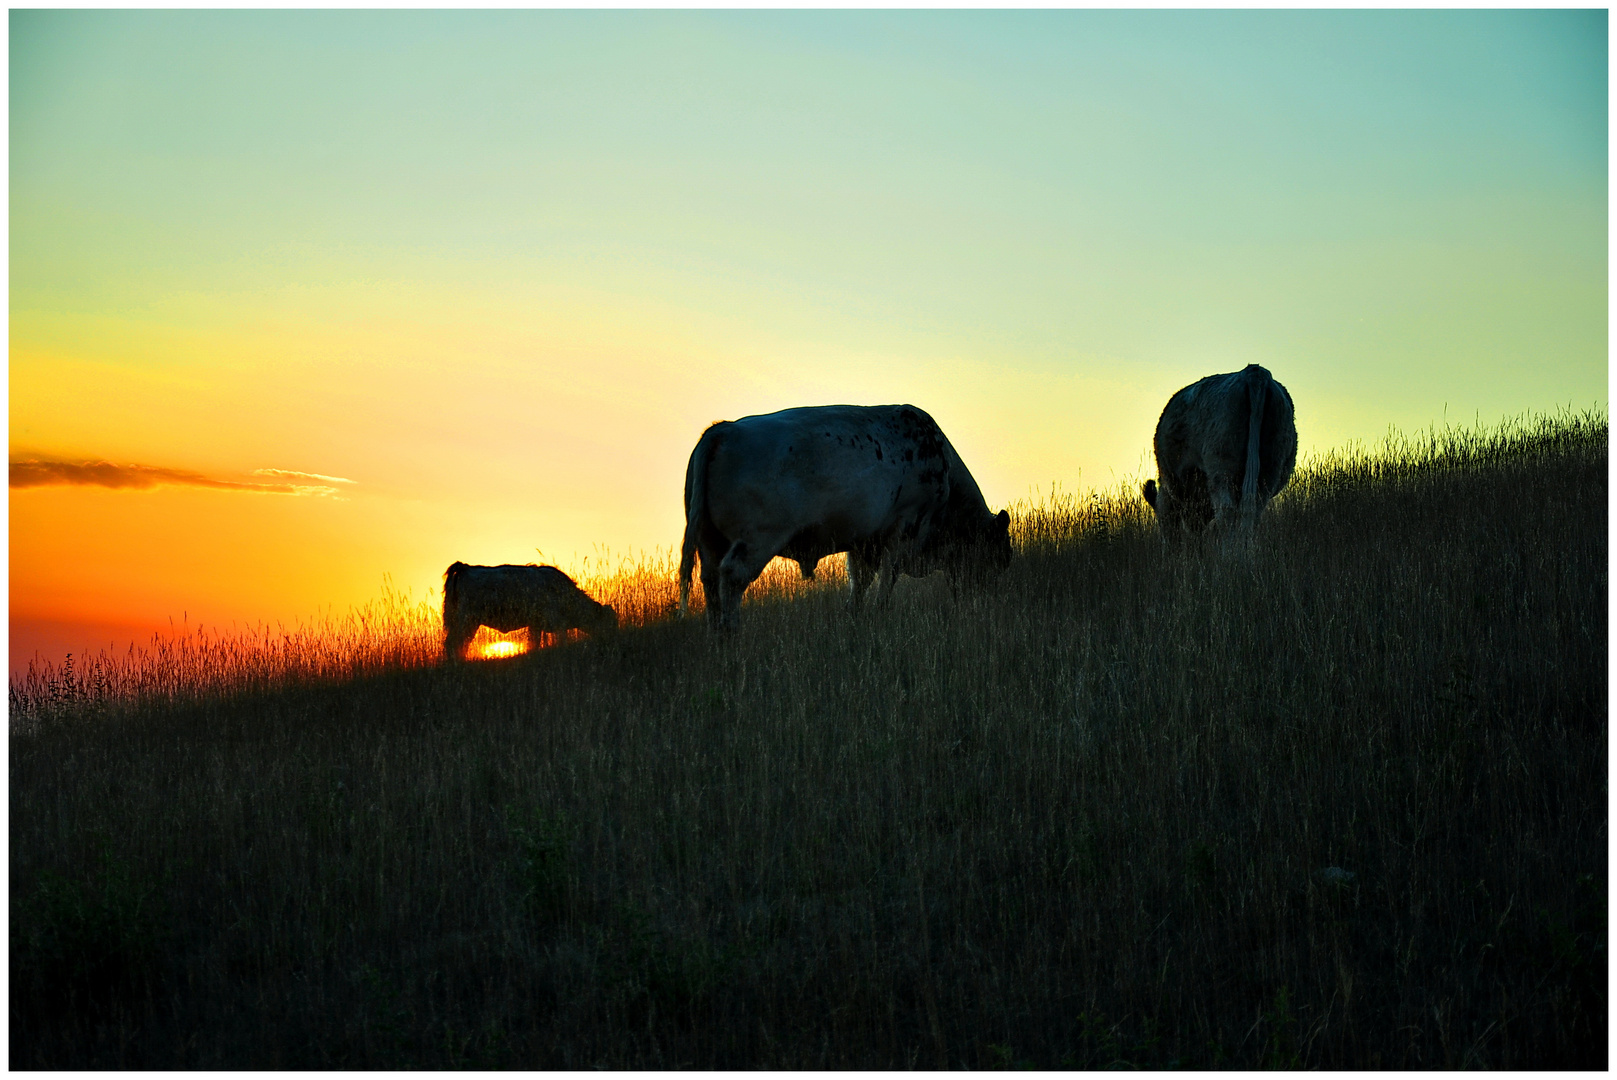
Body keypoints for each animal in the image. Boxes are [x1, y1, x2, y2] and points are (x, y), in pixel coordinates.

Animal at [443, 562, 617, 662]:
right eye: (608, 622)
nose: (613, 638)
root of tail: (465, 568)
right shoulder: (557, 625)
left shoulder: (536, 626)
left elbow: (535, 645)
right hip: (466, 621)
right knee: (455, 643)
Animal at [679, 402, 1009, 633]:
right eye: (998, 554)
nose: (989, 601)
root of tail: (721, 430)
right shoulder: (903, 533)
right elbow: (885, 584)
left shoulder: (865, 544)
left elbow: (860, 585)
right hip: (757, 540)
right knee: (732, 576)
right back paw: (731, 631)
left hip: (710, 542)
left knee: (709, 579)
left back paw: (716, 632)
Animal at [1138, 362, 1300, 543]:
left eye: (1162, 520)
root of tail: (1253, 371)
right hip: (1271, 467)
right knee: (1253, 511)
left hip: (1221, 467)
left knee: (1227, 511)